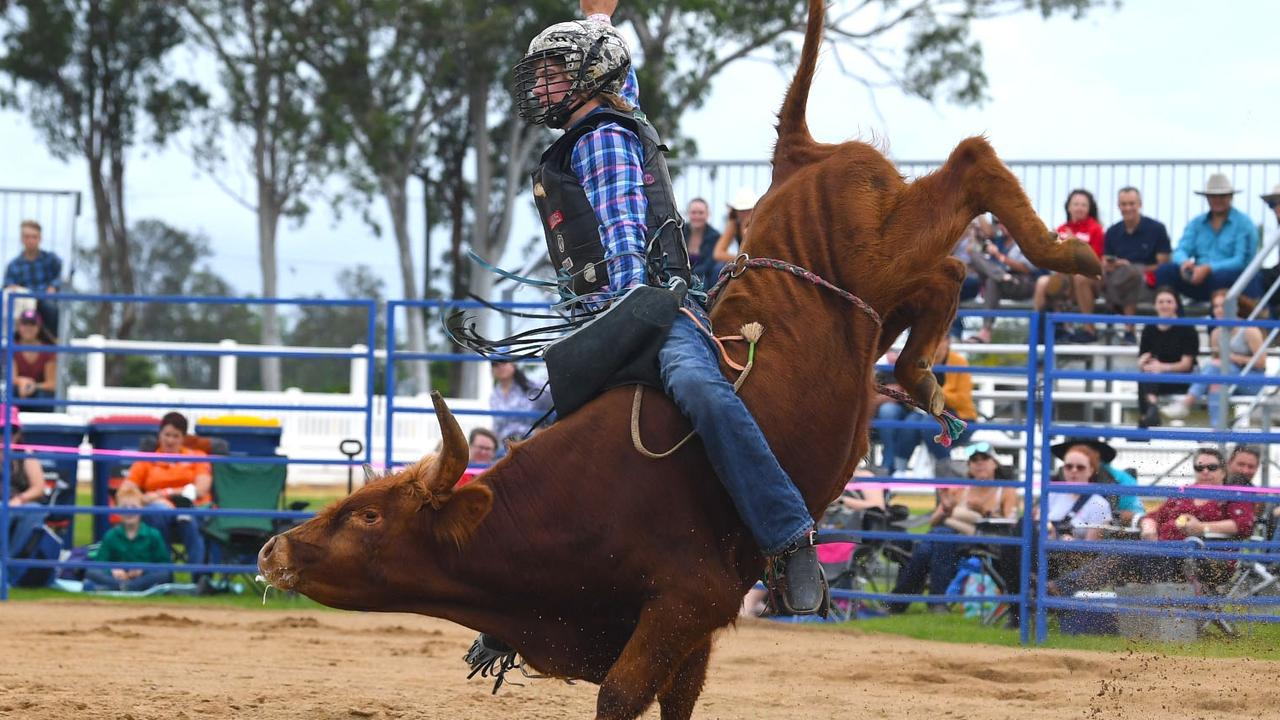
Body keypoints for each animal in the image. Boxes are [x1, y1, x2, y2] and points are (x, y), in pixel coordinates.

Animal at [257, 1, 1100, 717]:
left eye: (368, 515)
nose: (273, 548)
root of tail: (797, 156)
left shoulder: (685, 604)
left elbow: (622, 697)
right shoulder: (686, 635)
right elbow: (677, 700)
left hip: (883, 245)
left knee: (971, 163)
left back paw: (1063, 254)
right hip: (881, 296)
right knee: (945, 277)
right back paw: (920, 370)